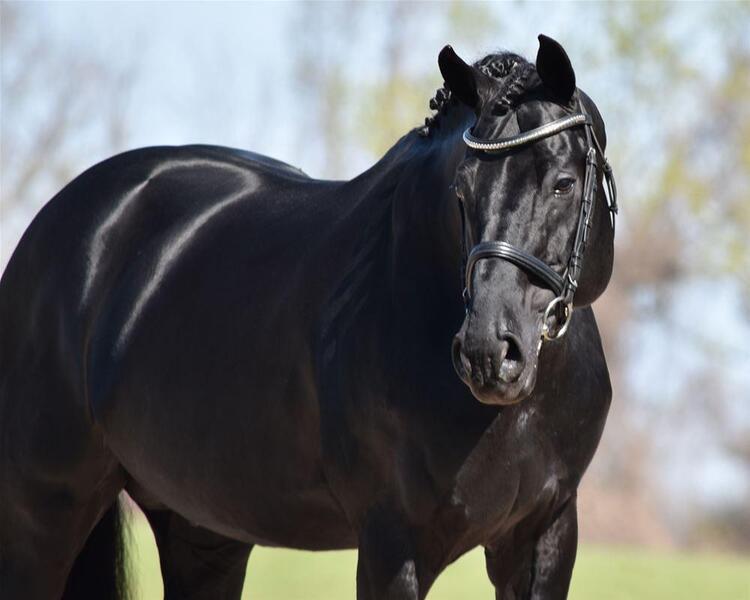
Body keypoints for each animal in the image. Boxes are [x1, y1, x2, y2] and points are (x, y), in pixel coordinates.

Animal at [0, 34, 617, 599]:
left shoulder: (543, 535)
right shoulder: (393, 546)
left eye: (563, 183)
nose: (489, 352)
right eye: (461, 193)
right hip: (42, 516)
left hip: (202, 528)